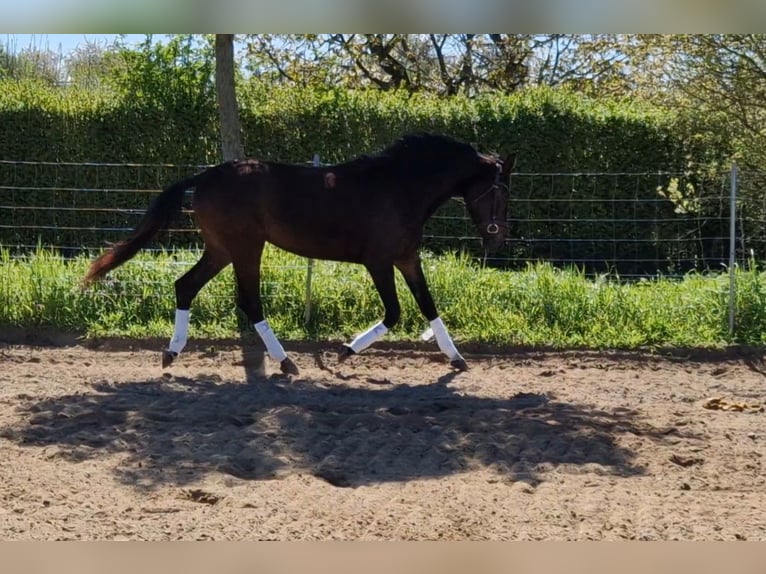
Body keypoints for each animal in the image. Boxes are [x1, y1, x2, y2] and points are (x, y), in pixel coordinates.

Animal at [84, 133, 512, 376]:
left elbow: (428, 305)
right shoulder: (378, 261)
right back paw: (286, 362)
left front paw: (457, 359)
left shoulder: (407, 258)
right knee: (249, 301)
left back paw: (171, 353)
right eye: (500, 192)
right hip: (246, 247)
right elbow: (394, 313)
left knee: (185, 286)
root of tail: (206, 175)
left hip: (221, 249)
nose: (497, 239)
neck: (399, 187)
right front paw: (344, 352)